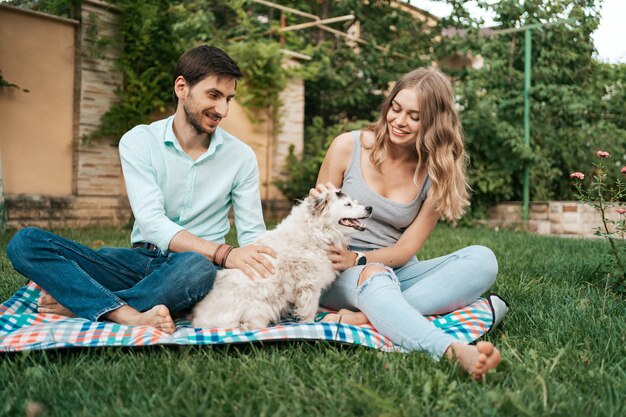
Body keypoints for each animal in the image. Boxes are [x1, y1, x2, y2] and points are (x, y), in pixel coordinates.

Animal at [188, 188, 368, 328]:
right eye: (347, 204)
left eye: (354, 201)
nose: (370, 208)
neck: (316, 230)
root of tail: (198, 319)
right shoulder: (310, 285)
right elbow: (309, 309)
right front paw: (311, 324)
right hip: (261, 310)